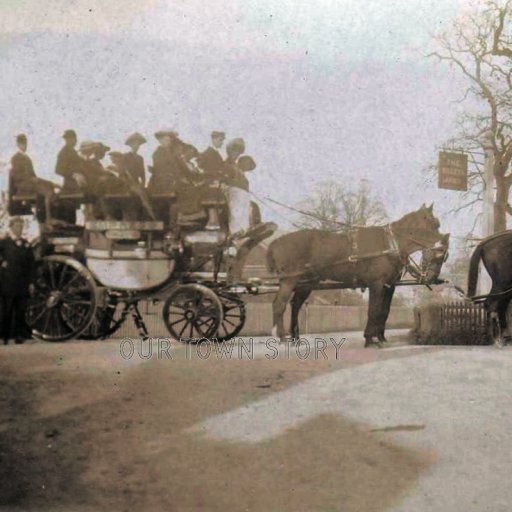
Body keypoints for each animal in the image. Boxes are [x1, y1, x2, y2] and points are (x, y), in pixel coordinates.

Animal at [268, 206, 444, 346]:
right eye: (435, 224)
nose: (443, 245)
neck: (391, 243)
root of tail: (276, 242)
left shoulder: (389, 285)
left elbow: (384, 311)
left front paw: (380, 337)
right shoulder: (376, 284)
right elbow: (373, 310)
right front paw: (370, 339)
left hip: (306, 284)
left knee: (295, 305)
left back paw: (295, 338)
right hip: (289, 281)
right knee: (279, 305)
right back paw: (282, 336)